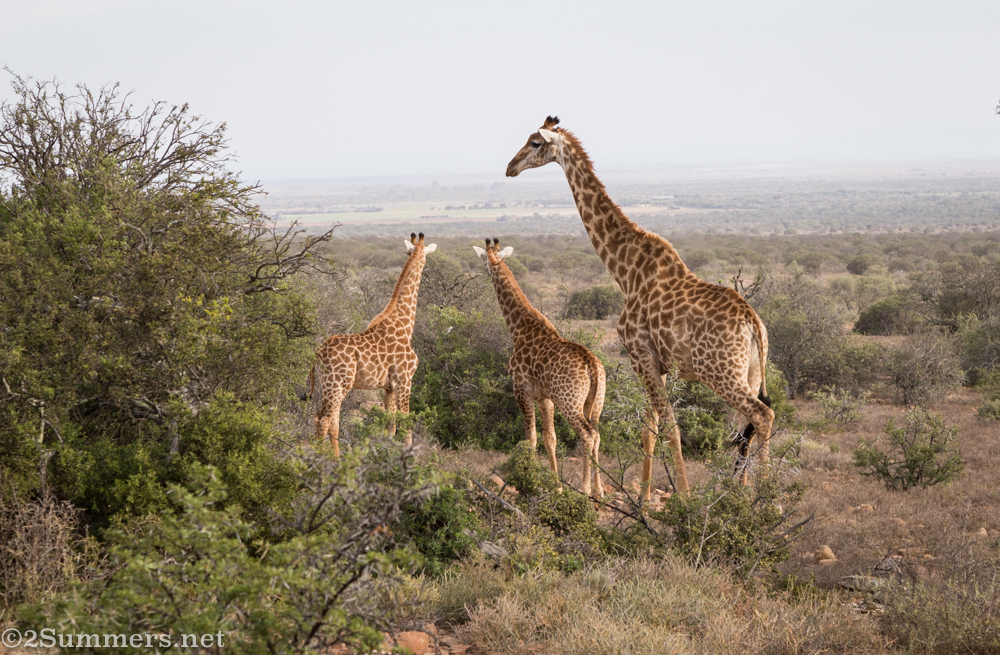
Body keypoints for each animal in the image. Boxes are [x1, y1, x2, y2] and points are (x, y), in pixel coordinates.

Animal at [312, 232, 436, 456]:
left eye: (408, 251)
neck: (405, 324)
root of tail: (318, 353)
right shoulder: (404, 379)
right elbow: (406, 421)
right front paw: (409, 456)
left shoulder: (388, 386)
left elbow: (390, 424)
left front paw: (387, 454)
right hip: (338, 384)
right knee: (323, 419)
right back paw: (325, 460)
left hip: (330, 385)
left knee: (332, 420)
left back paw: (337, 458)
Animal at [474, 238, 606, 497]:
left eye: (484, 258)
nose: (483, 270)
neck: (519, 328)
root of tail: (592, 366)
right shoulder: (545, 397)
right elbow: (550, 438)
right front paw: (556, 485)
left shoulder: (522, 390)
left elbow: (531, 438)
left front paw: (529, 481)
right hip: (595, 403)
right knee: (596, 435)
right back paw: (599, 491)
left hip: (570, 402)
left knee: (587, 435)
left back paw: (585, 489)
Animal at [506, 117, 774, 499]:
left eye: (535, 143)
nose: (510, 167)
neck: (626, 271)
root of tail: (754, 325)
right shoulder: (653, 362)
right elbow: (650, 429)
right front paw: (645, 499)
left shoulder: (639, 353)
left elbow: (670, 427)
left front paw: (683, 498)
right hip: (750, 373)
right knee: (747, 426)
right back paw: (740, 494)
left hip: (720, 373)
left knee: (763, 416)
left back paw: (766, 497)